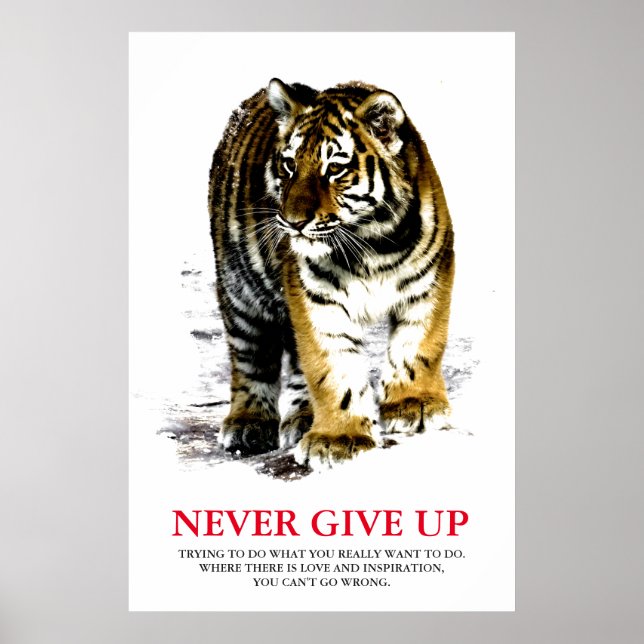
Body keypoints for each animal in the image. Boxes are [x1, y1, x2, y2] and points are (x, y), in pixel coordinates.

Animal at [208, 78, 454, 469]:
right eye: (289, 165)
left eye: (335, 169)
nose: (292, 222)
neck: (373, 242)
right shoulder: (315, 297)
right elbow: (332, 366)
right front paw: (339, 439)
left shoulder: (429, 280)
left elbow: (419, 345)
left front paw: (415, 405)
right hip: (239, 291)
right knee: (251, 358)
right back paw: (249, 425)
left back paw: (303, 418)